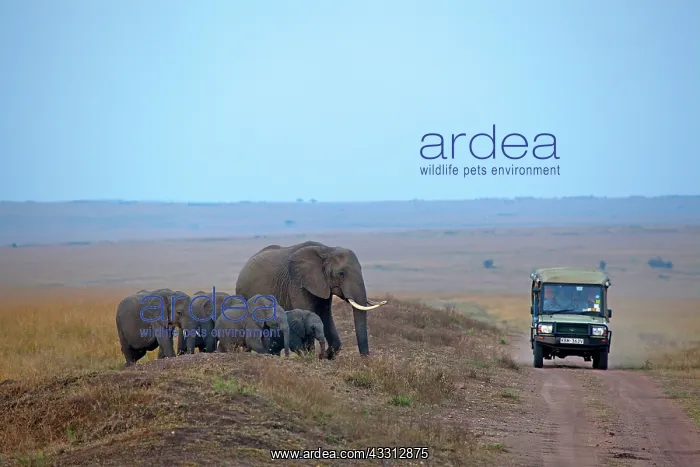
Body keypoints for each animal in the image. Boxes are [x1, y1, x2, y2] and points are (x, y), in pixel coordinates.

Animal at [234, 241, 387, 359]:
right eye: (341, 274)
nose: (365, 359)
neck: (327, 250)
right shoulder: (297, 283)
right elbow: (308, 312)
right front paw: (312, 356)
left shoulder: (322, 285)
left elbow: (325, 315)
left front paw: (325, 356)